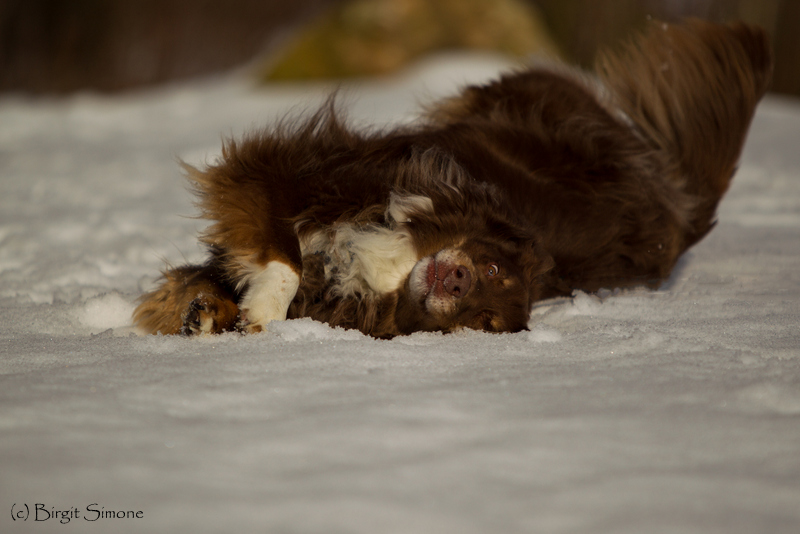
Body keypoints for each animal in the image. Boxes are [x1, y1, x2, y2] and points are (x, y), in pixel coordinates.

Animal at [134, 21, 772, 342]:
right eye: (490, 267)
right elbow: (281, 258)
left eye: (484, 320)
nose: (460, 282)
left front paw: (216, 313)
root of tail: (681, 211)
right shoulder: (291, 173)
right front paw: (240, 307)